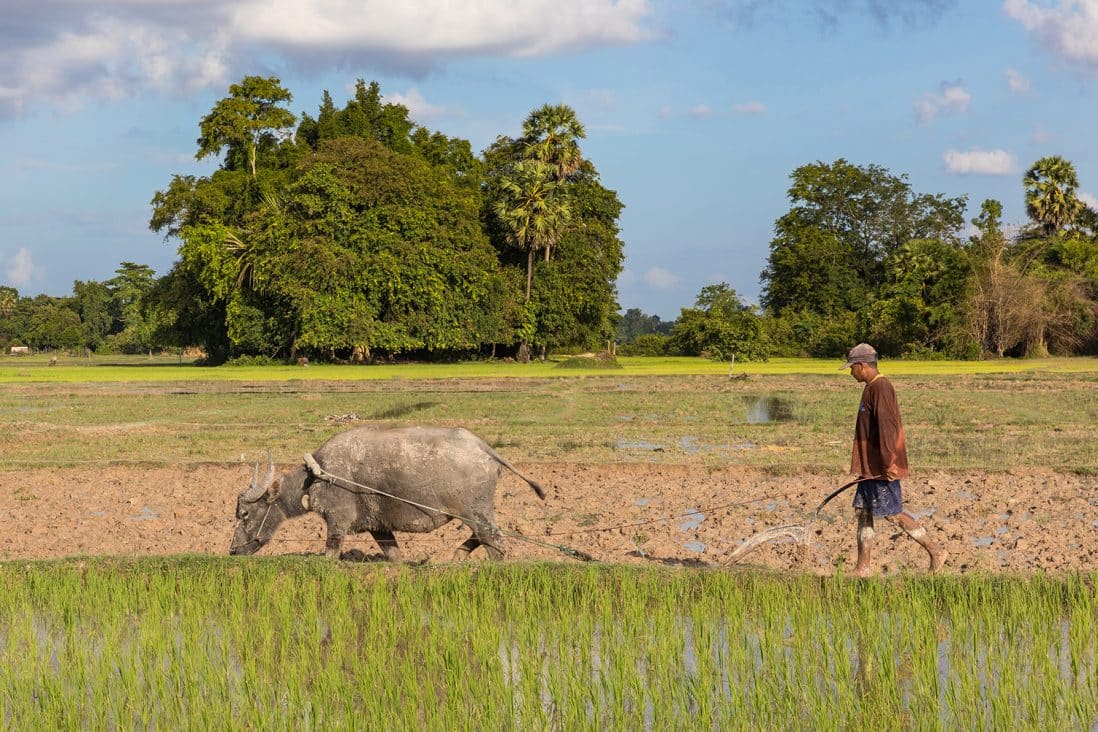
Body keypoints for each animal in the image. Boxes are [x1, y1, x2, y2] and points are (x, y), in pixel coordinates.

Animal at [228, 425, 544, 566]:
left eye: (244, 513)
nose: (232, 550)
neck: (316, 476)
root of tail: (482, 447)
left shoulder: (337, 521)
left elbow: (331, 552)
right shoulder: (379, 527)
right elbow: (393, 554)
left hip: (474, 511)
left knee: (495, 541)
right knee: (485, 536)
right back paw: (457, 554)